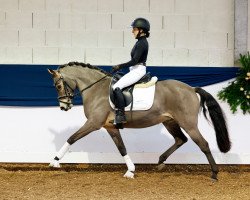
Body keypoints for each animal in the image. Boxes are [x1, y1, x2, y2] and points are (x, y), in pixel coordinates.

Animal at [47, 61, 231, 180]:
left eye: (58, 86)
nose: (64, 107)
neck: (96, 89)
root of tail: (192, 89)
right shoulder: (110, 127)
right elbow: (122, 148)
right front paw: (130, 171)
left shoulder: (93, 123)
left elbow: (71, 138)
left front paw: (54, 162)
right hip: (169, 121)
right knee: (181, 139)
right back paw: (161, 161)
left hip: (188, 124)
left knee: (203, 144)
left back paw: (214, 173)